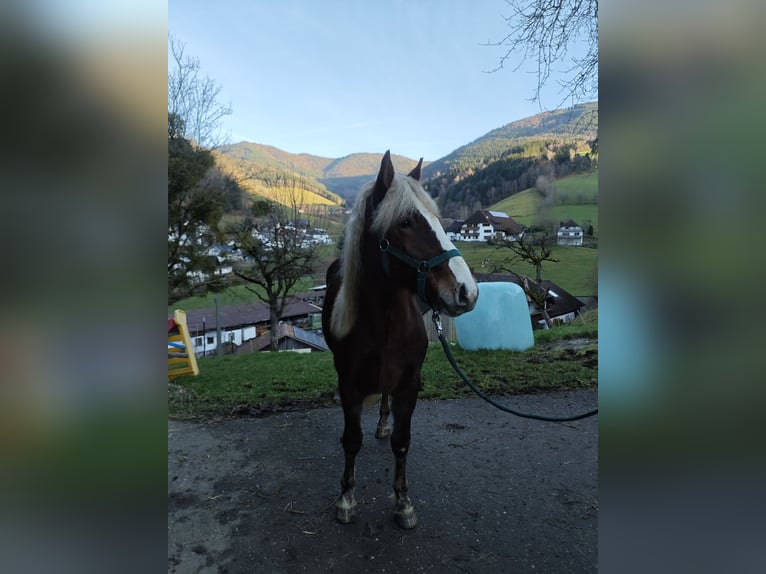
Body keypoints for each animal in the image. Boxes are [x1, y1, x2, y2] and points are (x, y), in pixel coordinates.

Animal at [321, 150, 479, 529]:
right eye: (406, 221)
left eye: (437, 218)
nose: (466, 291)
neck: (384, 321)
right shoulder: (348, 385)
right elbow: (351, 440)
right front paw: (346, 498)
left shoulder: (409, 383)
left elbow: (402, 441)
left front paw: (403, 502)